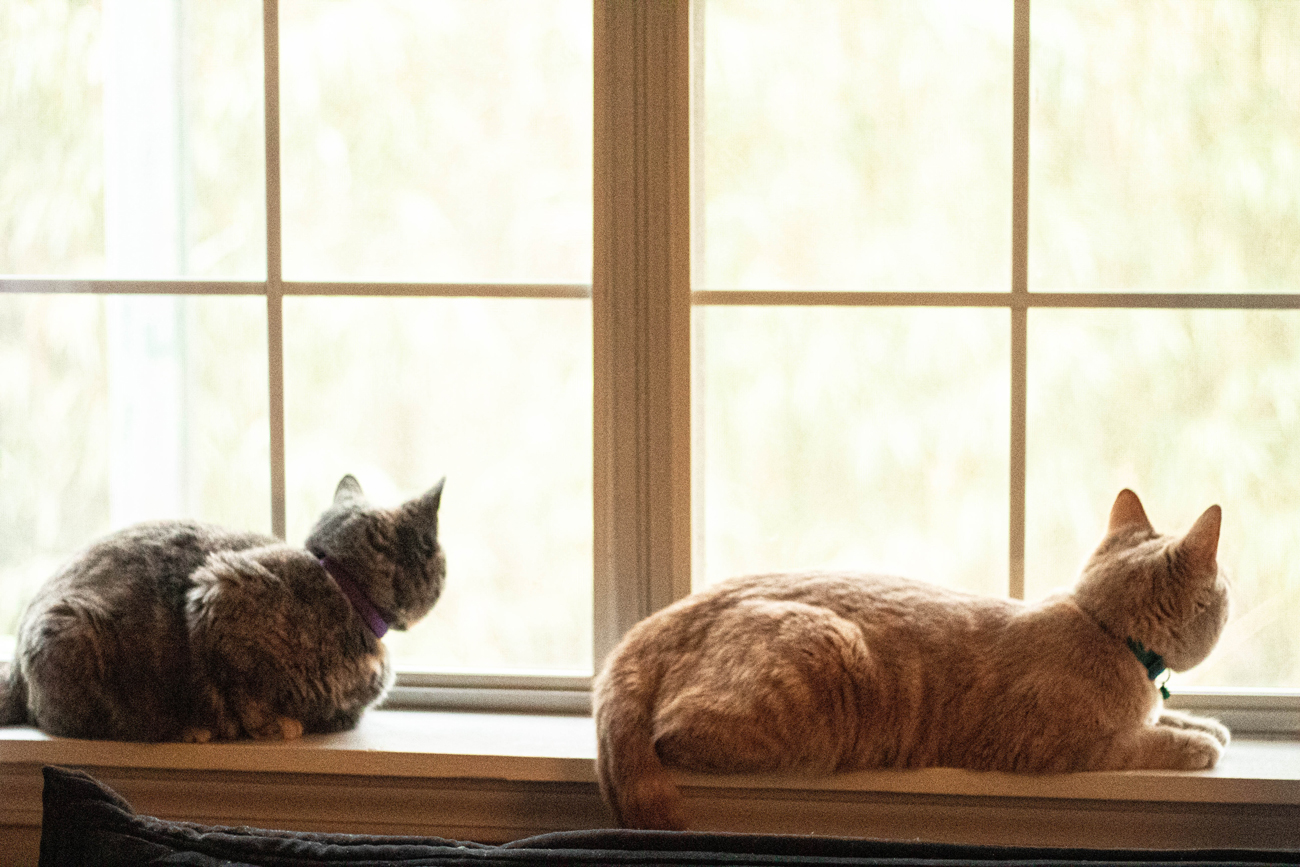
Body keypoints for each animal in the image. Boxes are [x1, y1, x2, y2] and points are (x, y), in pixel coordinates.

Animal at [0, 478, 447, 743]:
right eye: (438, 557)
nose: (446, 571)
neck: (341, 587)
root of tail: (16, 670)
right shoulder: (216, 590)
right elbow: (242, 691)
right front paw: (271, 726)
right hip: (73, 630)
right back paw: (184, 729)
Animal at [595, 491, 1232, 831]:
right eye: (1226, 588)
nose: (1232, 592)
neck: (1103, 628)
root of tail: (657, 624)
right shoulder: (1050, 747)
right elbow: (1138, 741)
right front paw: (1194, 743)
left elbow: (1165, 716)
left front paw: (1203, 723)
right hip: (818, 661)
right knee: (671, 735)